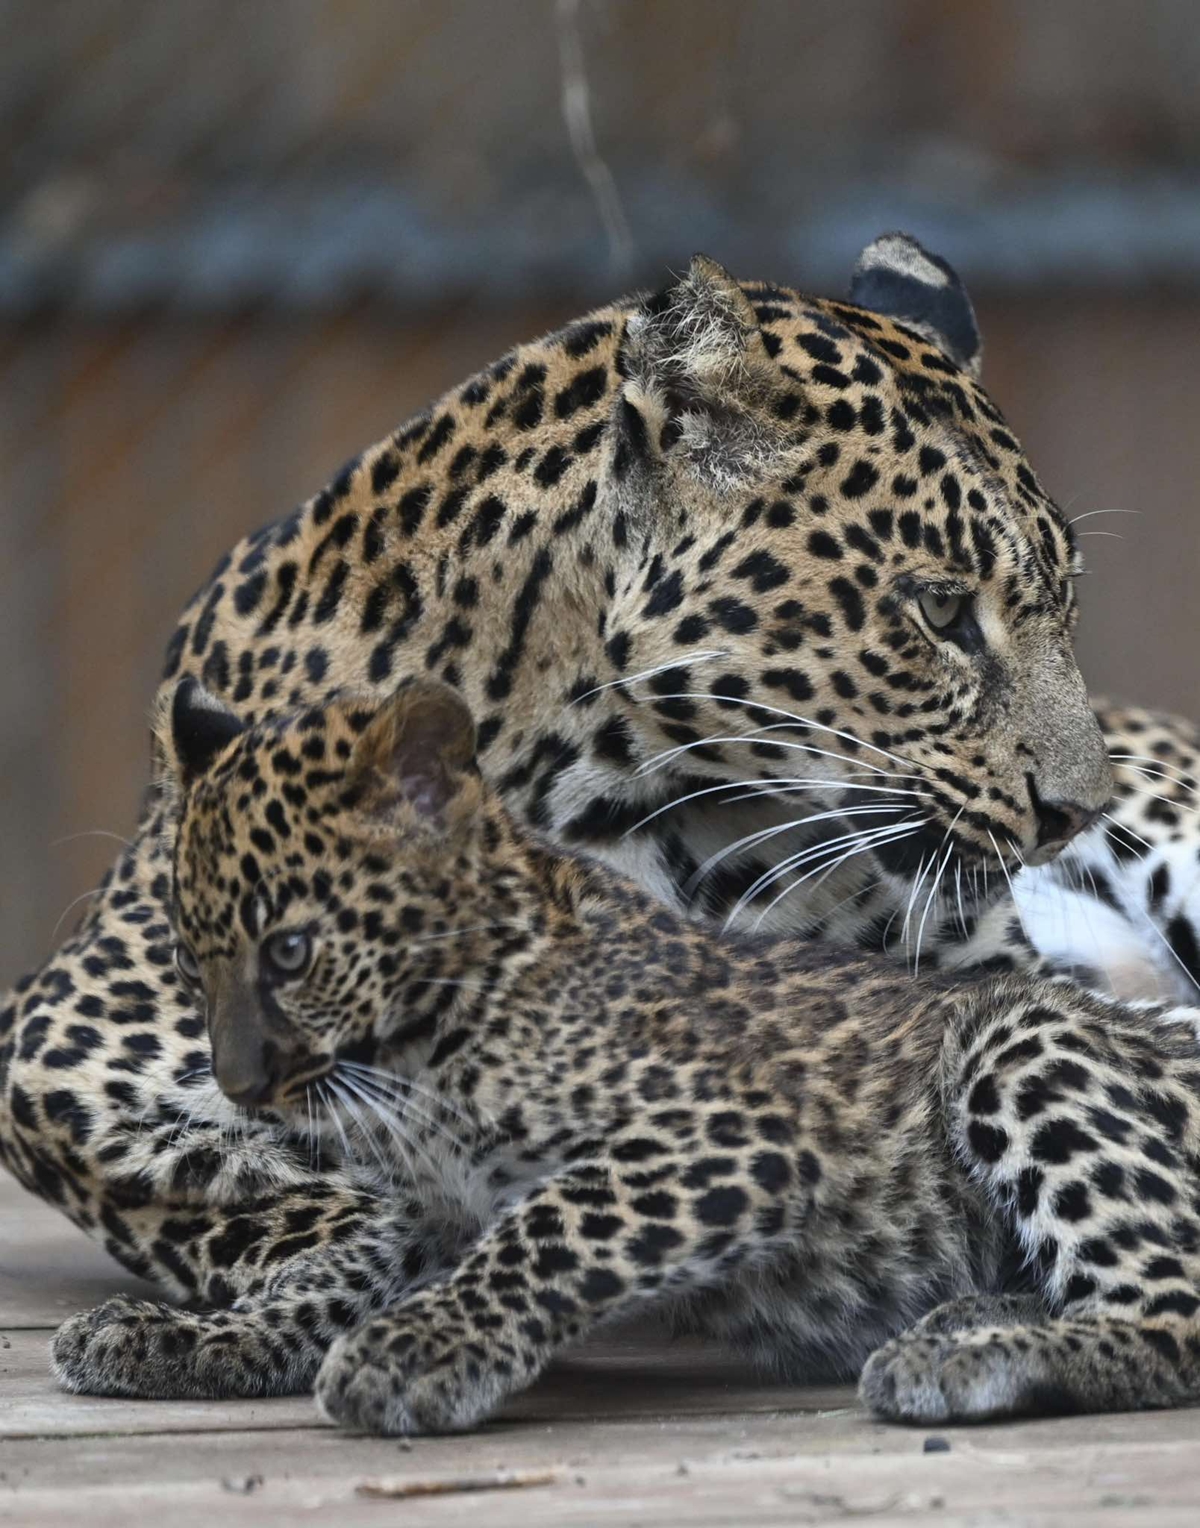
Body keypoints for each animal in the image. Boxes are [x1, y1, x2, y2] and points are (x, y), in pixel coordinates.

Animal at [0, 232, 1192, 1393]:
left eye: (1066, 605)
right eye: (941, 611)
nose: (1074, 811)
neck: (597, 784)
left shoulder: (973, 1003)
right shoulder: (65, 1056)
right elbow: (282, 1193)